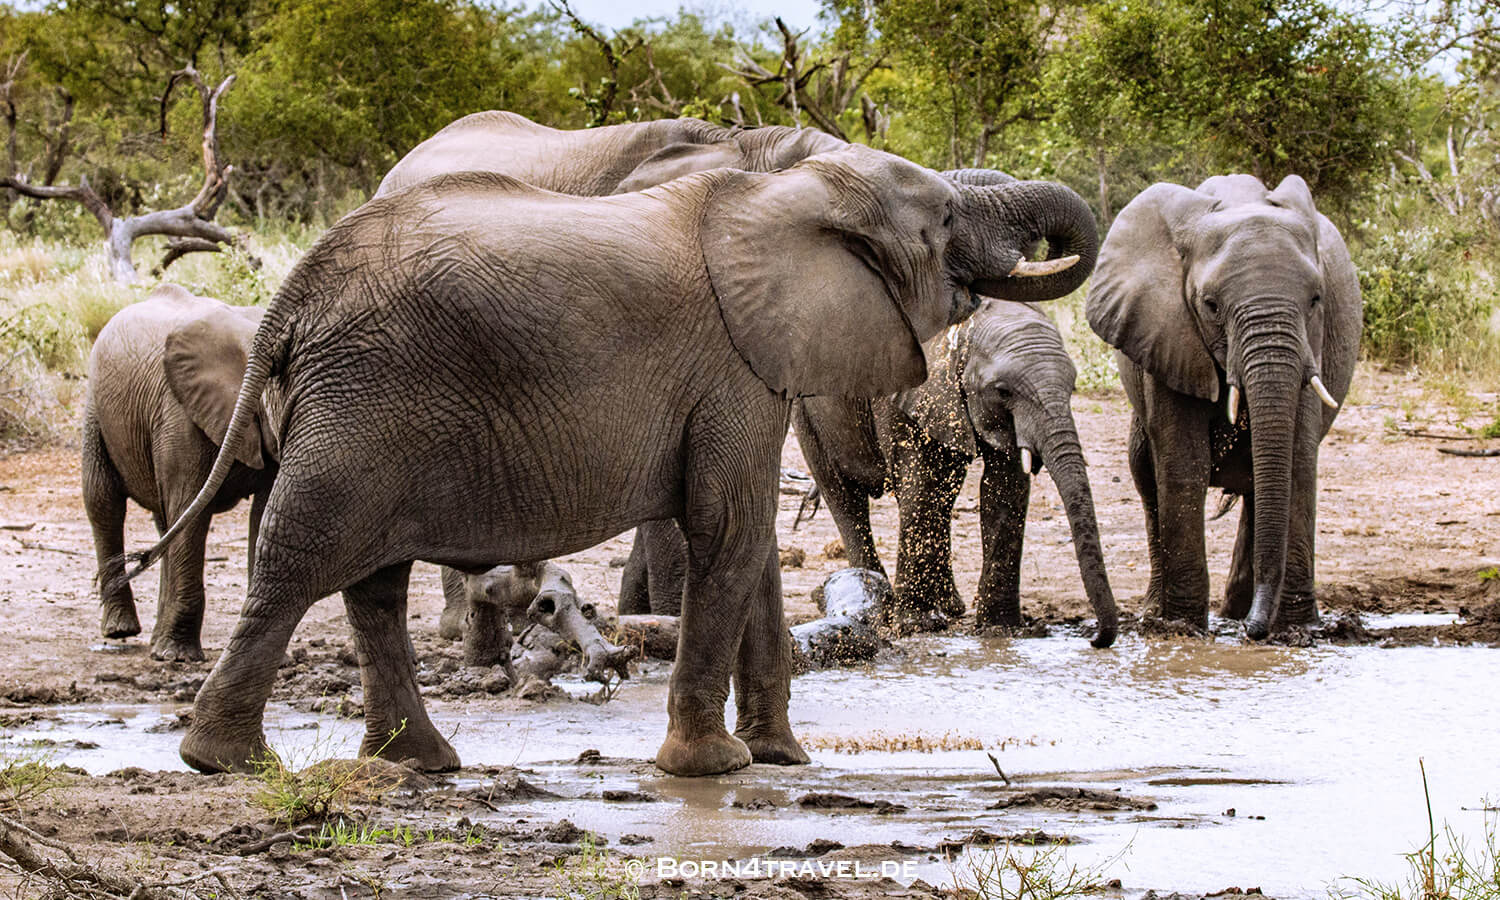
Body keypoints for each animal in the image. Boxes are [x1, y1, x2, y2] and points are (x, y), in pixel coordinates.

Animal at [82, 283, 280, 661]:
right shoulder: (180, 414)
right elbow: (192, 512)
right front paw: (179, 658)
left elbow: (264, 514)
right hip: (95, 408)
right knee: (103, 502)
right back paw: (121, 631)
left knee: (166, 520)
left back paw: (156, 641)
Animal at [618, 298, 1120, 649]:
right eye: (1003, 389)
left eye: (1074, 384)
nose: (1097, 638)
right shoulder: (908, 389)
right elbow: (922, 487)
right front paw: (922, 625)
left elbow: (1005, 492)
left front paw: (1000, 631)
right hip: (806, 410)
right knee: (845, 497)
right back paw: (878, 599)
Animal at [1085, 174, 1361, 639]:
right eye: (1211, 305)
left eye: (1316, 299)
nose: (1255, 632)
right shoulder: (1169, 330)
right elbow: (1183, 462)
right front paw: (1183, 629)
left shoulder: (1314, 342)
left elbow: (1298, 459)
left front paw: (1298, 632)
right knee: (1146, 475)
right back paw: (1167, 613)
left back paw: (1238, 612)